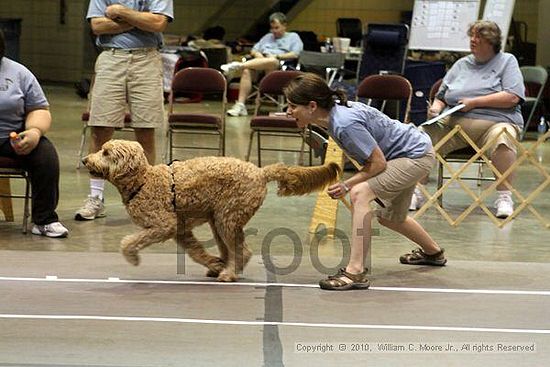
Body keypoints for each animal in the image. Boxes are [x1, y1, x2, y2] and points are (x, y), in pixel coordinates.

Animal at [83, 140, 340, 282]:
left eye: (106, 153)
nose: (85, 160)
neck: (144, 180)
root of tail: (260, 172)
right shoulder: (180, 229)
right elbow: (196, 251)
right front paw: (213, 264)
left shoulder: (164, 225)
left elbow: (129, 242)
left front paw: (133, 257)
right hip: (218, 219)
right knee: (231, 250)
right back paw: (223, 268)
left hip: (228, 217)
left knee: (243, 251)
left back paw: (229, 273)